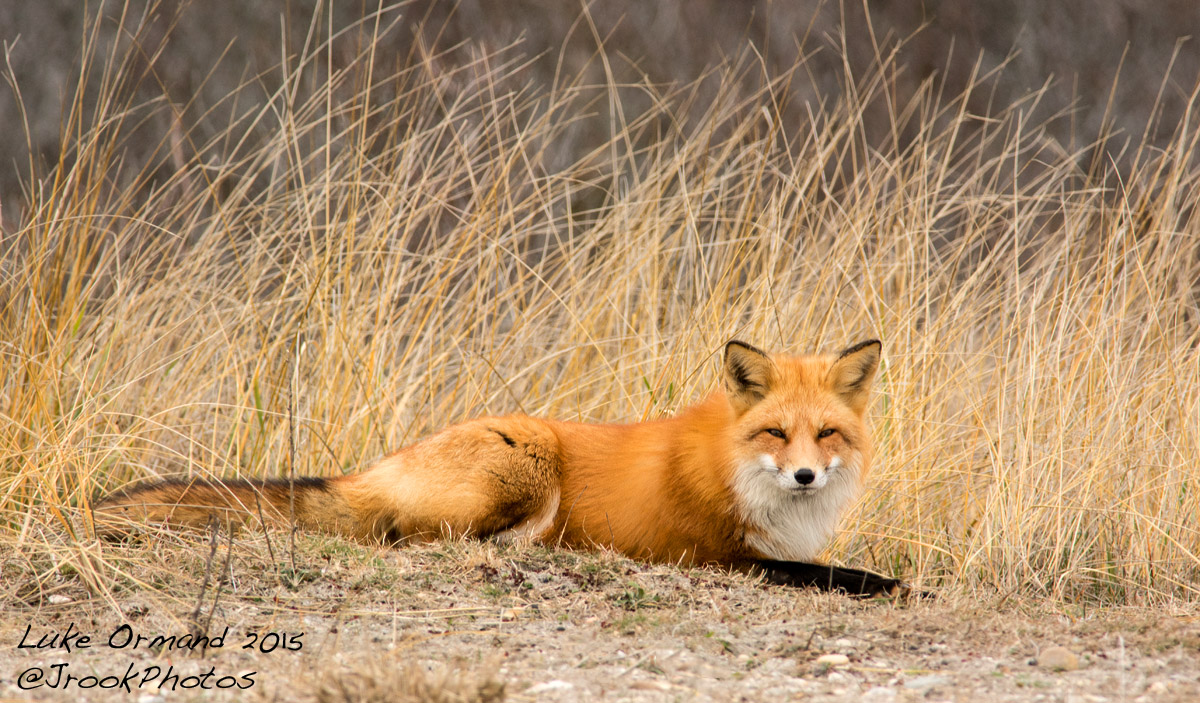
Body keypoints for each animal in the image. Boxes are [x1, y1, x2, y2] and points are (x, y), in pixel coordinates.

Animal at [95, 340, 905, 596]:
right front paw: (895, 586)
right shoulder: (720, 554)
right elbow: (842, 575)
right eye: (775, 433)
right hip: (531, 468)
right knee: (415, 538)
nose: (805, 477)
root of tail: (378, 465)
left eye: (826, 435)